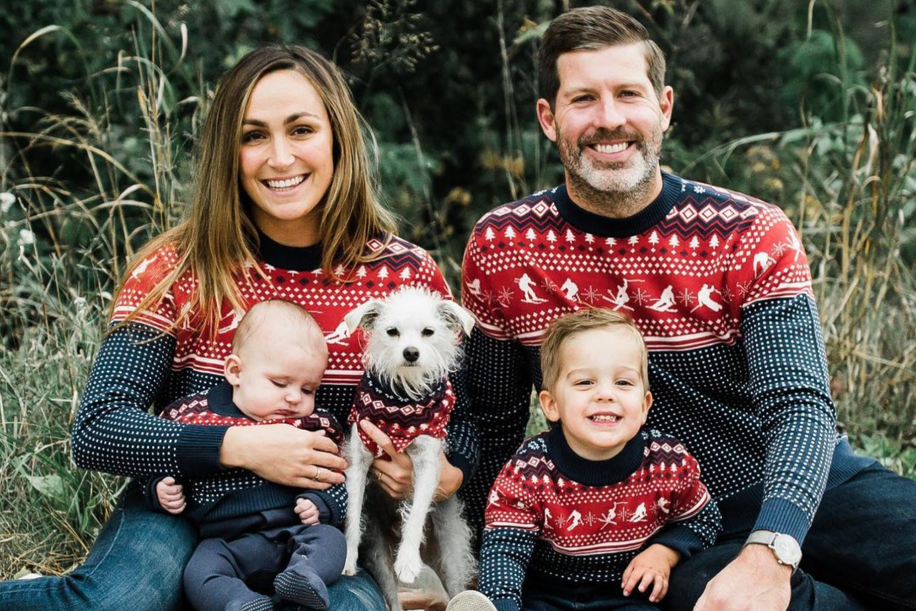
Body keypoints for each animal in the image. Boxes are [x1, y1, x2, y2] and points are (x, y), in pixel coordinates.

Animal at [344, 286, 480, 611]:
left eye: (428, 332)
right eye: (392, 331)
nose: (411, 352)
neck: (400, 403)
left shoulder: (428, 463)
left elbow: (416, 510)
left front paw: (407, 560)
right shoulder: (358, 461)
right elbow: (353, 516)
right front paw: (347, 560)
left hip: (450, 559)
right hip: (380, 559)